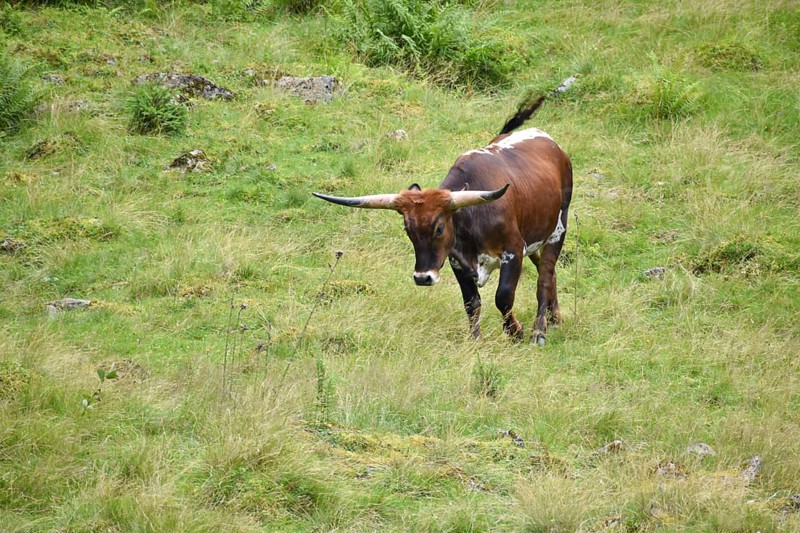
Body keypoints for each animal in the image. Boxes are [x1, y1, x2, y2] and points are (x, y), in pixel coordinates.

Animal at [313, 96, 573, 345]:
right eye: (407, 229)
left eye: (439, 228)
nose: (422, 278)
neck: (472, 220)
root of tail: (550, 143)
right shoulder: (457, 260)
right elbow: (471, 302)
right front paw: (475, 340)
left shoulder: (513, 250)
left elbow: (503, 296)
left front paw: (515, 332)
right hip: (537, 233)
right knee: (548, 271)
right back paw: (555, 318)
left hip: (558, 229)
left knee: (544, 277)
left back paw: (539, 331)